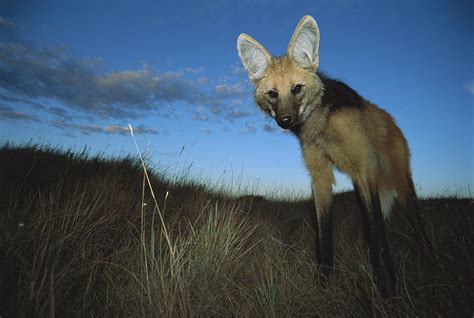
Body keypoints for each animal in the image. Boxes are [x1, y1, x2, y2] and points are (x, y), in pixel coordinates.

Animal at [237, 16, 422, 296]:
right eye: (273, 94)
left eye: (297, 89)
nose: (285, 120)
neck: (321, 126)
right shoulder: (320, 176)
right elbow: (323, 236)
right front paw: (323, 284)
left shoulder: (363, 169)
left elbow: (376, 234)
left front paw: (387, 290)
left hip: (399, 180)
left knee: (416, 222)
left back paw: (427, 258)